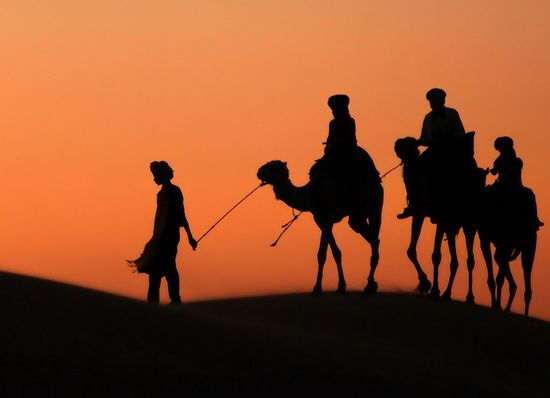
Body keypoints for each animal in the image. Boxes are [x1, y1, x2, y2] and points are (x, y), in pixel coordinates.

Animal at [258, 160, 384, 294]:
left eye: (273, 167)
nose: (259, 172)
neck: (309, 194)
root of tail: (377, 183)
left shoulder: (325, 218)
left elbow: (325, 253)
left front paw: (319, 287)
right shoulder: (321, 220)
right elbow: (331, 252)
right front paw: (339, 285)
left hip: (368, 208)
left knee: (373, 239)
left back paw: (369, 285)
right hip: (366, 212)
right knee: (373, 238)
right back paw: (372, 284)